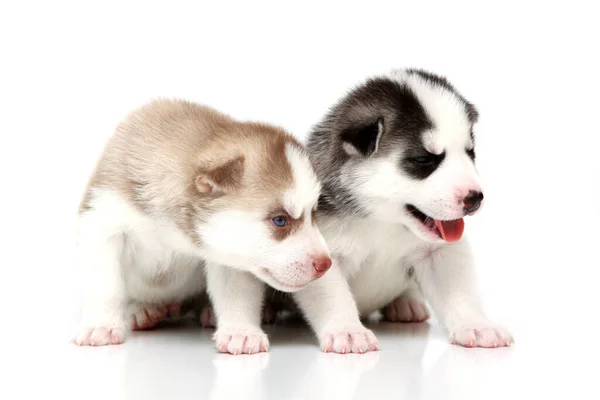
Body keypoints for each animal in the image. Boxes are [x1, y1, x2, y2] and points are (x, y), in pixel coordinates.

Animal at [74, 99, 332, 354]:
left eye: (313, 214)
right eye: (280, 220)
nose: (325, 264)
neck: (174, 230)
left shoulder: (226, 253)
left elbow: (236, 293)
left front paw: (240, 331)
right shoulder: (103, 223)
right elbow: (106, 286)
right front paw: (101, 325)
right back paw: (141, 310)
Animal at [292, 68, 512, 354]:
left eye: (470, 152)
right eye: (423, 159)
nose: (475, 198)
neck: (382, 220)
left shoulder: (440, 253)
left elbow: (459, 293)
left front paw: (476, 324)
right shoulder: (322, 256)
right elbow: (334, 298)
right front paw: (348, 330)